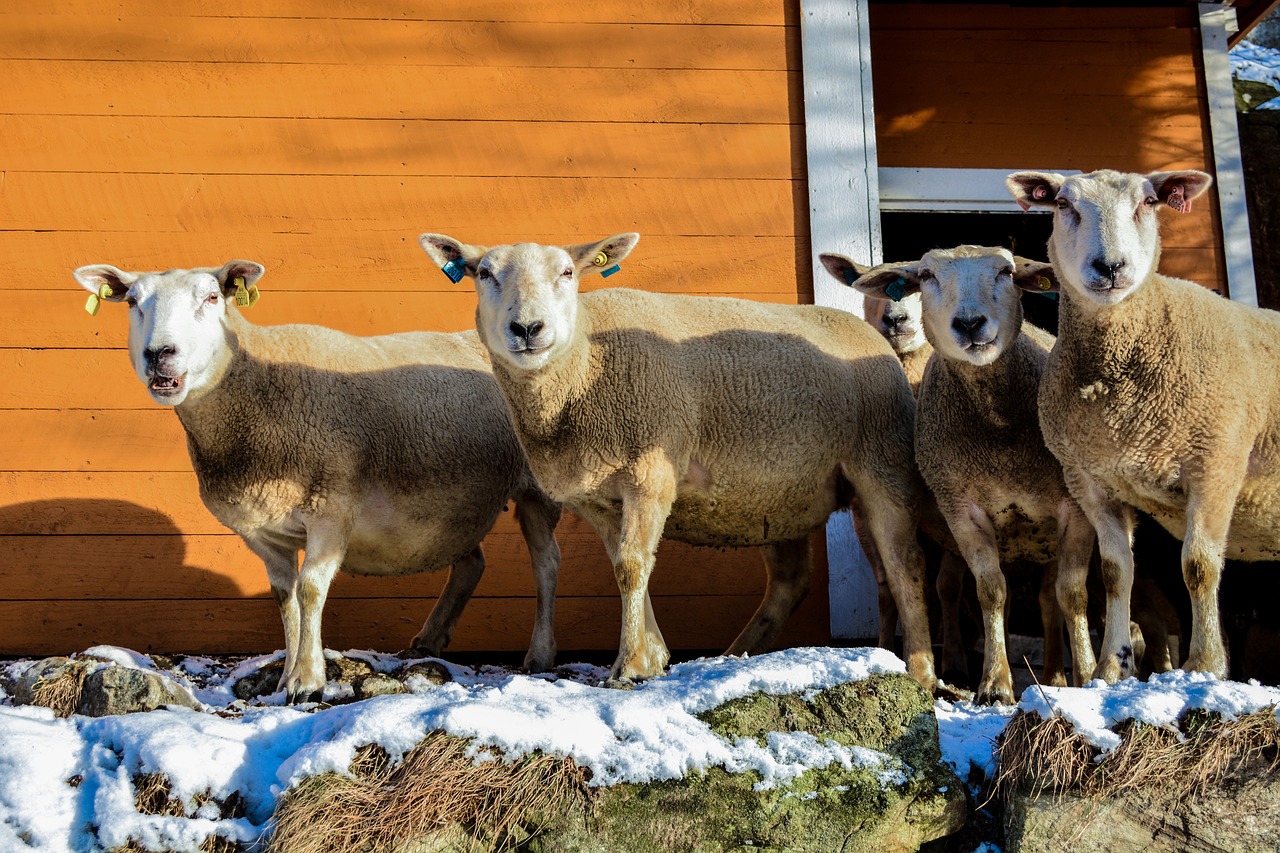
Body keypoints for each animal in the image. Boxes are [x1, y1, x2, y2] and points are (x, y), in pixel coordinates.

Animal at [72, 258, 563, 696]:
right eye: (132, 301)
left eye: (212, 297)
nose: (159, 354)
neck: (257, 388)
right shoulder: (263, 531)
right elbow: (284, 598)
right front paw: (287, 675)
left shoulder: (332, 507)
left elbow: (309, 590)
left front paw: (307, 681)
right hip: (455, 502)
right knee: (471, 563)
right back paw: (428, 641)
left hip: (538, 487)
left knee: (546, 563)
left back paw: (539, 655)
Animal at [419, 229, 942, 686]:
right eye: (484, 272)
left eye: (567, 272)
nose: (528, 328)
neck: (584, 366)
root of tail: (866, 333)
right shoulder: (600, 497)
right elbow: (628, 565)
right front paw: (652, 656)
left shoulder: (650, 471)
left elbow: (632, 565)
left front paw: (630, 664)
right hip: (780, 494)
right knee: (791, 581)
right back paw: (735, 654)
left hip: (881, 463)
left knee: (905, 564)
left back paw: (921, 672)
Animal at [834, 244, 1095, 696]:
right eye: (927, 276)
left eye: (1006, 271)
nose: (970, 323)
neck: (999, 433)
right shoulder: (960, 509)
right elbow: (990, 592)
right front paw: (994, 684)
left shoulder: (1075, 507)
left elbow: (1073, 595)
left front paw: (1092, 677)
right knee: (903, 589)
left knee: (1048, 601)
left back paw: (1054, 676)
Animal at [1003, 169, 1280, 681]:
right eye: (1064, 204)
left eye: (1149, 202)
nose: (1110, 266)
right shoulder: (1092, 482)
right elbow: (1115, 572)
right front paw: (1111, 667)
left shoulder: (1216, 463)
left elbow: (1198, 566)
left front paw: (1204, 665)